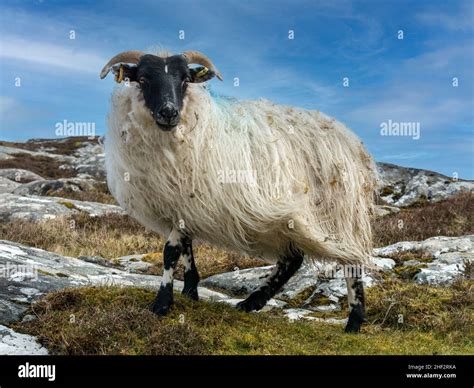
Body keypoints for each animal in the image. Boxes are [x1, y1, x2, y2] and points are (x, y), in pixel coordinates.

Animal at [100, 49, 378, 334]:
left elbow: (170, 252)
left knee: (351, 263)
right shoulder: (182, 204)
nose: (169, 112)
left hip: (339, 215)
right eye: (143, 79)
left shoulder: (184, 199)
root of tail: (352, 140)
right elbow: (186, 247)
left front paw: (162, 304)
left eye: (185, 80)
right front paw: (190, 292)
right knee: (292, 260)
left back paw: (354, 321)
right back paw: (251, 302)